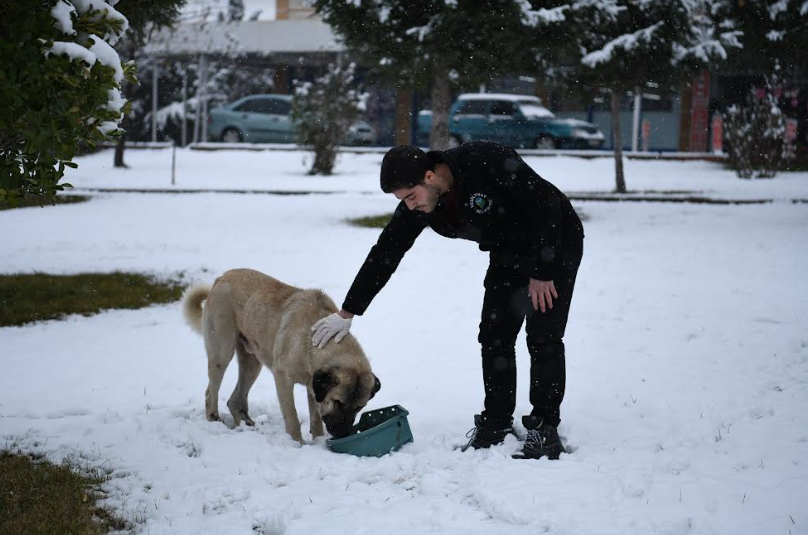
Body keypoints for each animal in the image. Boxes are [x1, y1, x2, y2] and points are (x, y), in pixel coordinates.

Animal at [181, 270, 380, 442]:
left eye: (360, 407)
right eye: (337, 402)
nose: (342, 434)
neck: (309, 340)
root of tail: (221, 278)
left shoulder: (314, 386)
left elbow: (315, 418)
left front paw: (318, 441)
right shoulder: (283, 378)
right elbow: (292, 416)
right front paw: (298, 444)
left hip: (252, 362)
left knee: (234, 400)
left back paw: (248, 425)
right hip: (222, 352)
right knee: (210, 393)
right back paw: (214, 419)